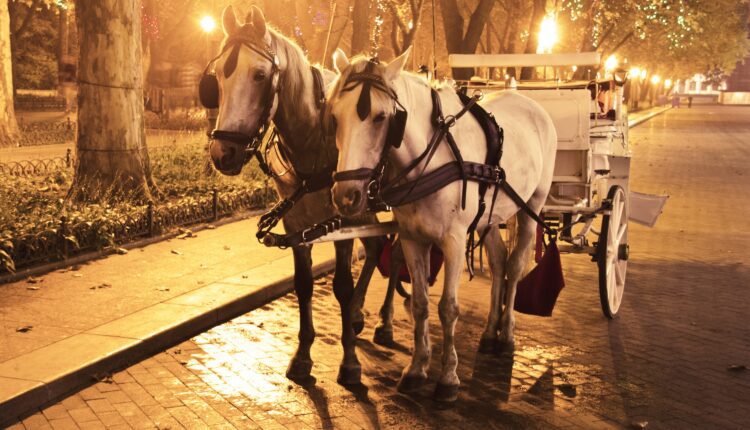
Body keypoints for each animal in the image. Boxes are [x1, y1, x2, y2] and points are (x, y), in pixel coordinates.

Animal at [205, 5, 405, 385]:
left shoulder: (342, 219)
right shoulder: (298, 222)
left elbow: (341, 285)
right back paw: (358, 315)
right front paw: (302, 355)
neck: (313, 138)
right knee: (377, 247)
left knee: (401, 250)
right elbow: (304, 284)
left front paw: (349, 361)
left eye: (259, 75)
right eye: (219, 75)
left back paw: (385, 321)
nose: (223, 153)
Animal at [327, 49, 557, 401]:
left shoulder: (453, 240)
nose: (346, 196)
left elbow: (448, 308)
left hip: (532, 204)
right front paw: (417, 368)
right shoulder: (412, 238)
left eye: (381, 118)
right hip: (489, 217)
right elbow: (421, 304)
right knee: (498, 261)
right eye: (335, 117)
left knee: (515, 265)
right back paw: (489, 332)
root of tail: (530, 103)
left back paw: (506, 333)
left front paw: (448, 378)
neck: (428, 160)